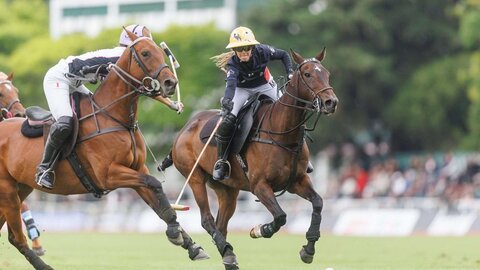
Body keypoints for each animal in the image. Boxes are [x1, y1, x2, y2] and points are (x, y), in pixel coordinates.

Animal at [0, 30, 209, 270]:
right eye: (145, 53)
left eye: (159, 51)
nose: (170, 83)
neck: (115, 116)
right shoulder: (108, 175)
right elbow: (155, 184)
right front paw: (175, 231)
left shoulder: (137, 170)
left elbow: (157, 198)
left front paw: (189, 243)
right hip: (7, 191)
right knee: (16, 238)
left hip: (20, 188)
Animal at [163, 48, 340, 268]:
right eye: (307, 74)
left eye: (327, 74)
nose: (331, 102)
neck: (282, 133)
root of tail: (183, 129)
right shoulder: (259, 185)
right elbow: (280, 216)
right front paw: (259, 230)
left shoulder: (297, 181)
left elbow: (318, 202)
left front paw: (308, 250)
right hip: (194, 177)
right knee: (207, 219)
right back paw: (225, 252)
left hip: (228, 189)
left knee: (221, 224)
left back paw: (228, 255)